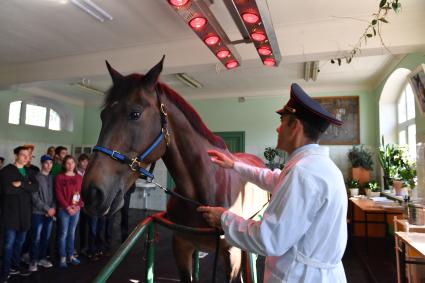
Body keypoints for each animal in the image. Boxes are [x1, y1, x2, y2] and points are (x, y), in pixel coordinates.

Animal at [82, 56, 268, 282]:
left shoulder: (231, 255)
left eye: (135, 114)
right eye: (103, 115)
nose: (91, 192)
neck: (201, 191)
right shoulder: (182, 247)